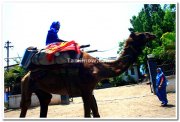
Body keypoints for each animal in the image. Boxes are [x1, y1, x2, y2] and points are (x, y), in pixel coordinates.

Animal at [19, 31, 155, 117]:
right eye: (142, 34)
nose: (152, 34)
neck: (98, 68)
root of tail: (26, 75)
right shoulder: (85, 90)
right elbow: (88, 114)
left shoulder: (90, 90)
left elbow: (96, 113)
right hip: (27, 85)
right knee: (25, 104)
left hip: (41, 89)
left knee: (45, 101)